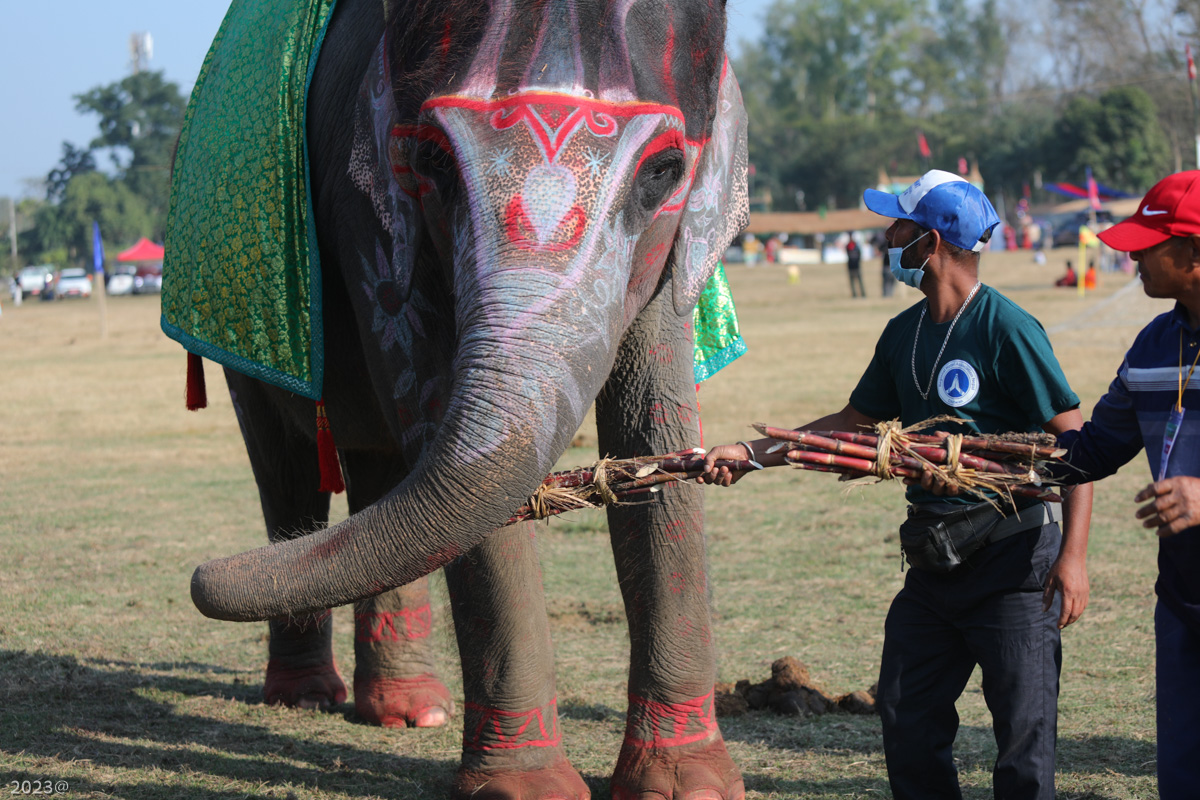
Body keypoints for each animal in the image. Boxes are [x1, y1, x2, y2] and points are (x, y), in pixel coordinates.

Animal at [184, 3, 748, 796]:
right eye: (433, 164)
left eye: (665, 170)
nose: (199, 574)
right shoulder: (367, 211)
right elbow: (433, 408)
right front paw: (530, 791)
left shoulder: (672, 249)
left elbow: (653, 431)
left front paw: (687, 783)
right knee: (288, 464)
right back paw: (307, 697)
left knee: (376, 473)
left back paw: (408, 713)